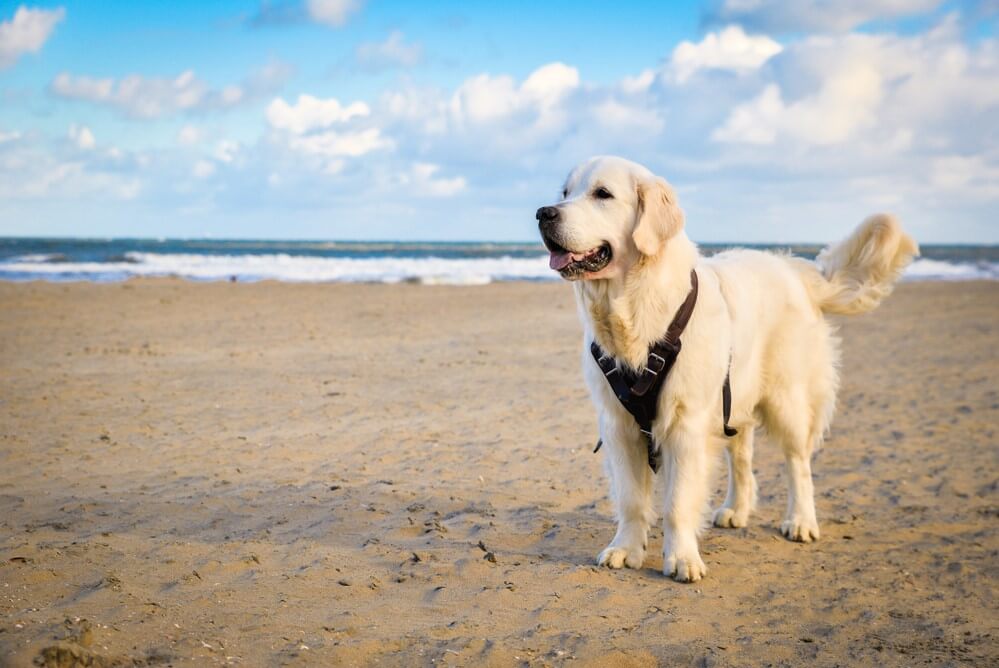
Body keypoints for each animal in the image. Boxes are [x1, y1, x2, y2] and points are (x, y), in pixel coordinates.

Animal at [540, 155, 920, 580]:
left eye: (602, 194)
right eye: (565, 192)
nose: (543, 213)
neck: (636, 307)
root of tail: (790, 267)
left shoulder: (685, 422)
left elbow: (677, 502)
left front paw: (682, 557)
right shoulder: (618, 425)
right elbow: (631, 499)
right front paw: (625, 548)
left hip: (786, 399)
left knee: (799, 463)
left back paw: (801, 521)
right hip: (733, 397)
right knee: (742, 456)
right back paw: (736, 509)